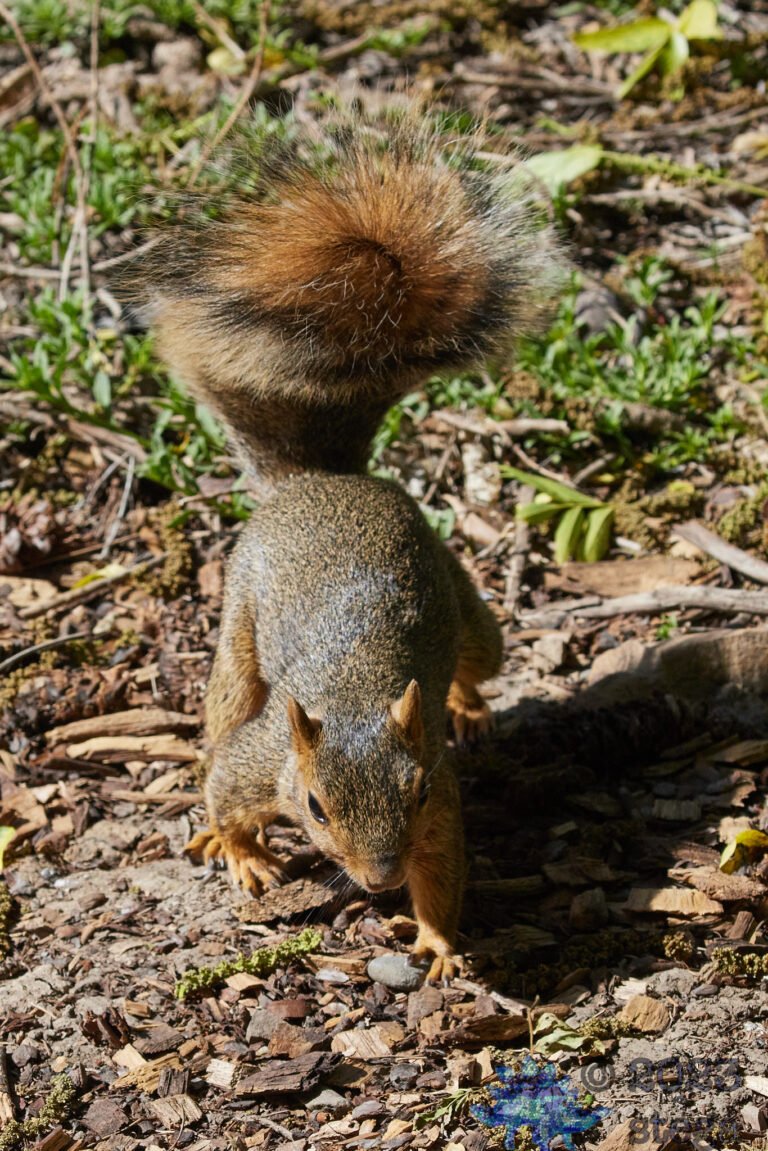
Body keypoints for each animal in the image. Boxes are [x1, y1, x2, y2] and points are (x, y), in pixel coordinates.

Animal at [135, 108, 564, 980]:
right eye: (314, 805)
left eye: (419, 792)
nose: (378, 879)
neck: (358, 697)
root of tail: (318, 479)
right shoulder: (263, 756)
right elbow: (224, 788)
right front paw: (243, 853)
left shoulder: (441, 810)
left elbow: (447, 871)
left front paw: (437, 940)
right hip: (239, 629)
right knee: (222, 711)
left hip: (469, 611)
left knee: (476, 662)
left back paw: (469, 707)